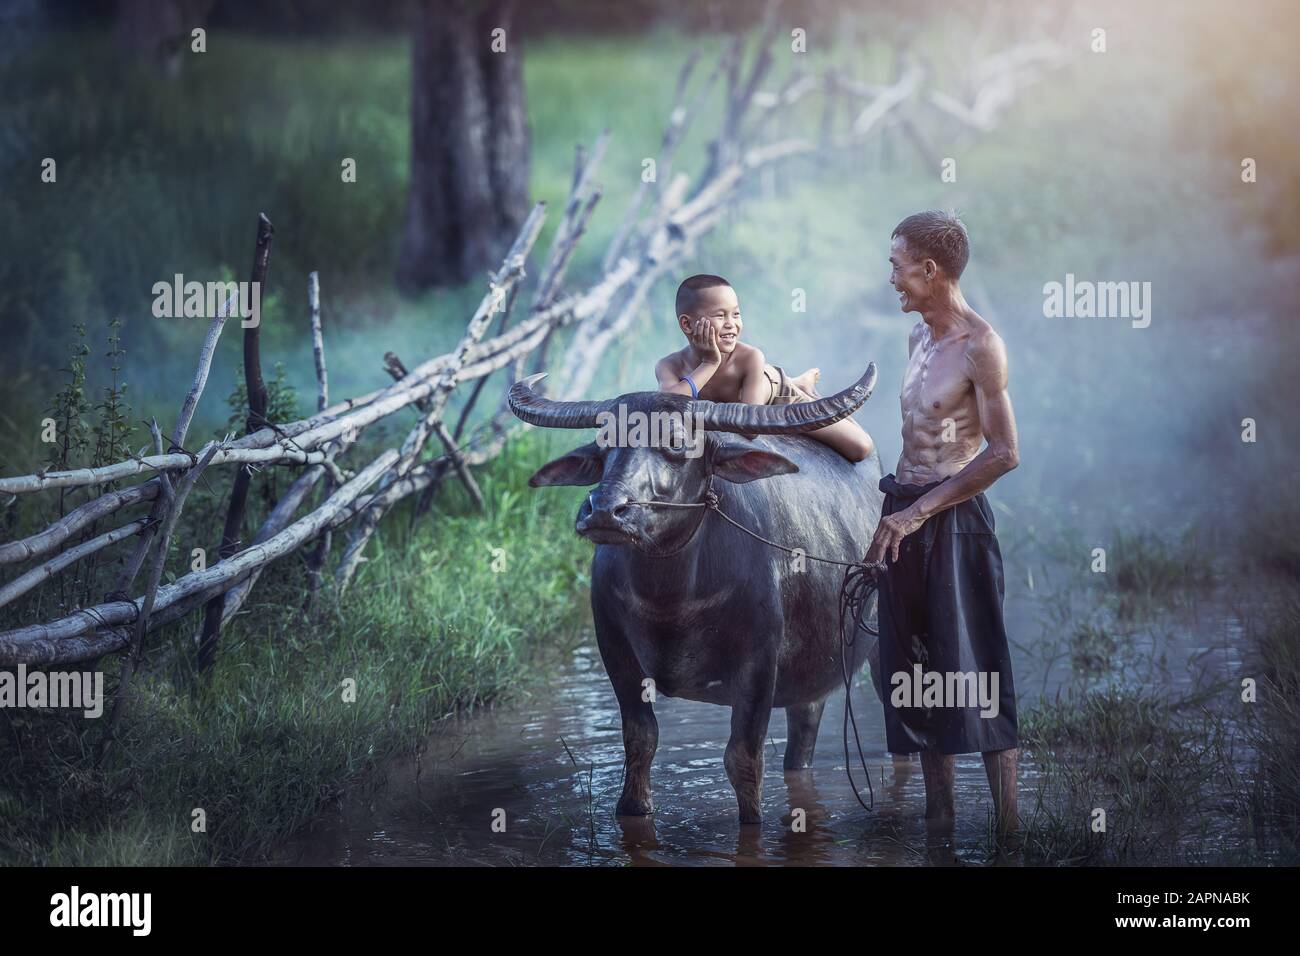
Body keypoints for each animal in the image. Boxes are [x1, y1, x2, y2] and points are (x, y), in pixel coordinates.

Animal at [506, 366, 883, 822]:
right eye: (605, 442)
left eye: (674, 442)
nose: (604, 510)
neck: (671, 599)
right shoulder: (614, 650)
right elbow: (640, 740)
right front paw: (632, 807)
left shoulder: (760, 662)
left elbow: (743, 758)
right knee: (803, 734)